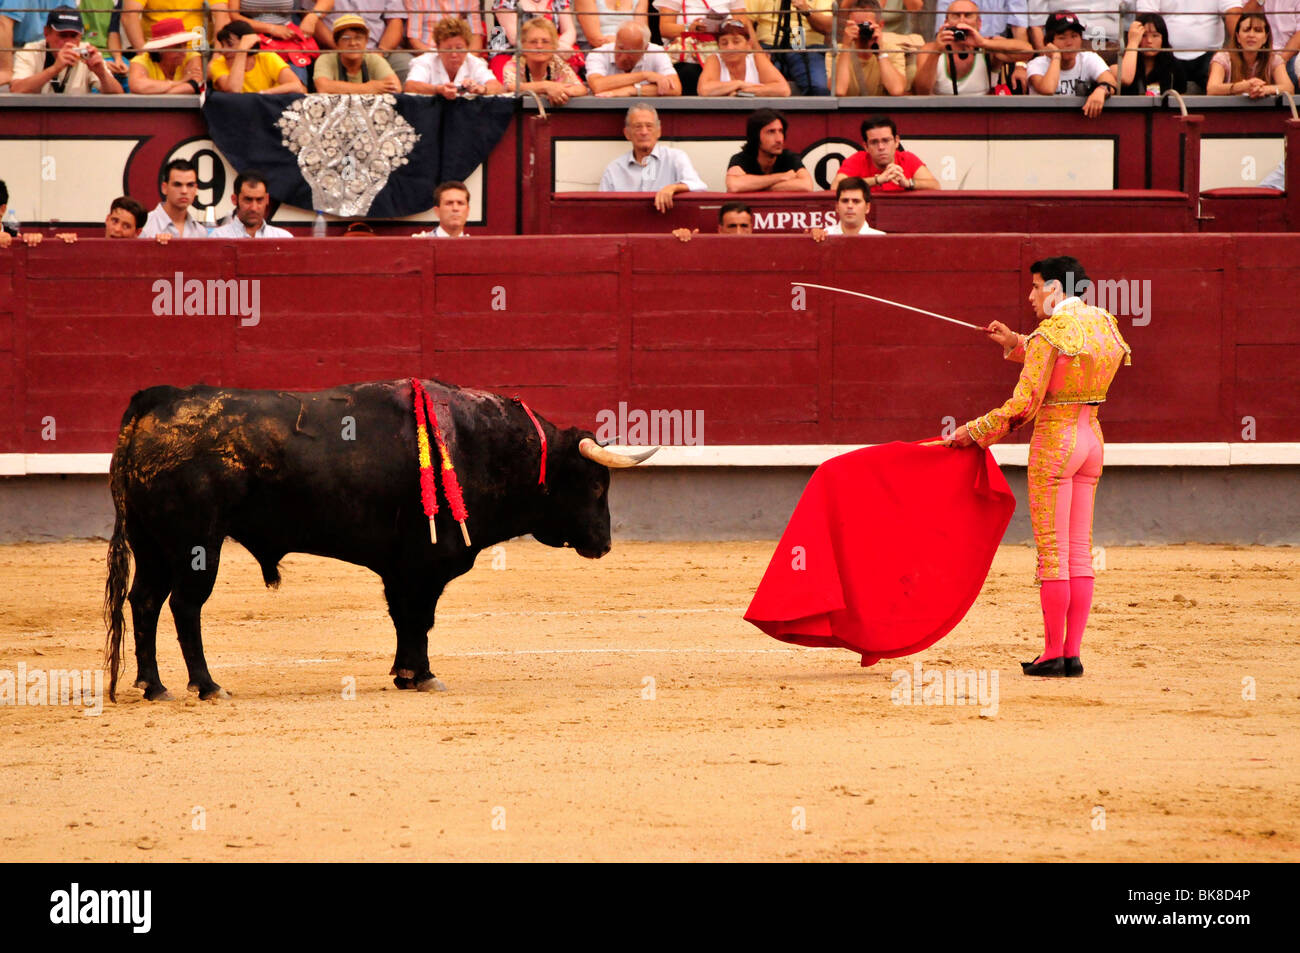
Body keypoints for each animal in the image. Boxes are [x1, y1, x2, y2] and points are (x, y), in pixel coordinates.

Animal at [102, 379, 655, 696]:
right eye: (595, 484)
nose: (604, 543)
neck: (481, 444)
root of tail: (158, 401)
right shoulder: (425, 565)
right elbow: (419, 619)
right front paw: (421, 676)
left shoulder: (399, 568)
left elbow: (404, 620)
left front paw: (404, 674)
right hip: (196, 544)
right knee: (184, 606)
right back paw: (206, 685)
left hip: (152, 544)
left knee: (145, 601)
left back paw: (153, 686)